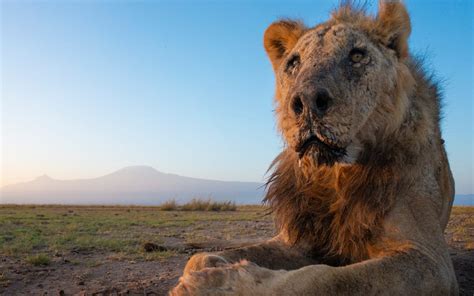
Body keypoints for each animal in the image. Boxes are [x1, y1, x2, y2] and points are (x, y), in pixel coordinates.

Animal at [171, 1, 460, 294]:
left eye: (357, 56)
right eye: (293, 63)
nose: (307, 100)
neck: (333, 175)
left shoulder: (430, 260)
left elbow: (324, 278)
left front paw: (218, 283)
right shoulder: (298, 239)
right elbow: (199, 258)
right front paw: (211, 265)